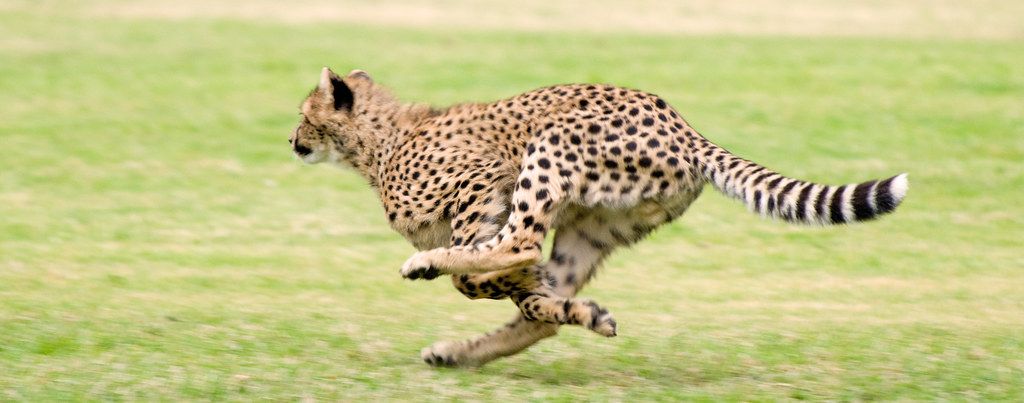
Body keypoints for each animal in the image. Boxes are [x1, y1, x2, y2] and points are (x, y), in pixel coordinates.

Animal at [289, 67, 909, 368]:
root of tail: (686, 127)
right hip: (592, 226)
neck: (376, 143)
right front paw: (572, 309)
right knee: (540, 302)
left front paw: (441, 265)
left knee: (519, 244)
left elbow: (482, 266)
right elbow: (515, 288)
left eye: (304, 114)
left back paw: (435, 271)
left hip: (551, 147)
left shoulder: (485, 182)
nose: (291, 140)